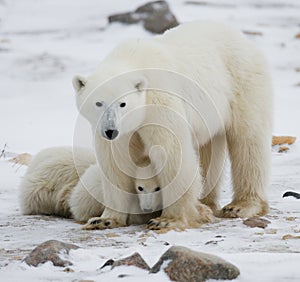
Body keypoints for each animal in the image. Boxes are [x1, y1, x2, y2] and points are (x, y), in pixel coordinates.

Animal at [74, 21, 274, 229]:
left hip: (243, 83)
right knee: (208, 149)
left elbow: (171, 152)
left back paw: (240, 206)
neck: (134, 60)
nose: (110, 131)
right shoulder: (120, 131)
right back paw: (205, 203)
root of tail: (243, 39)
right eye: (98, 103)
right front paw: (104, 219)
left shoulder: (159, 100)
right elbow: (115, 163)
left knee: (248, 141)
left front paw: (166, 220)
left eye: (123, 103)